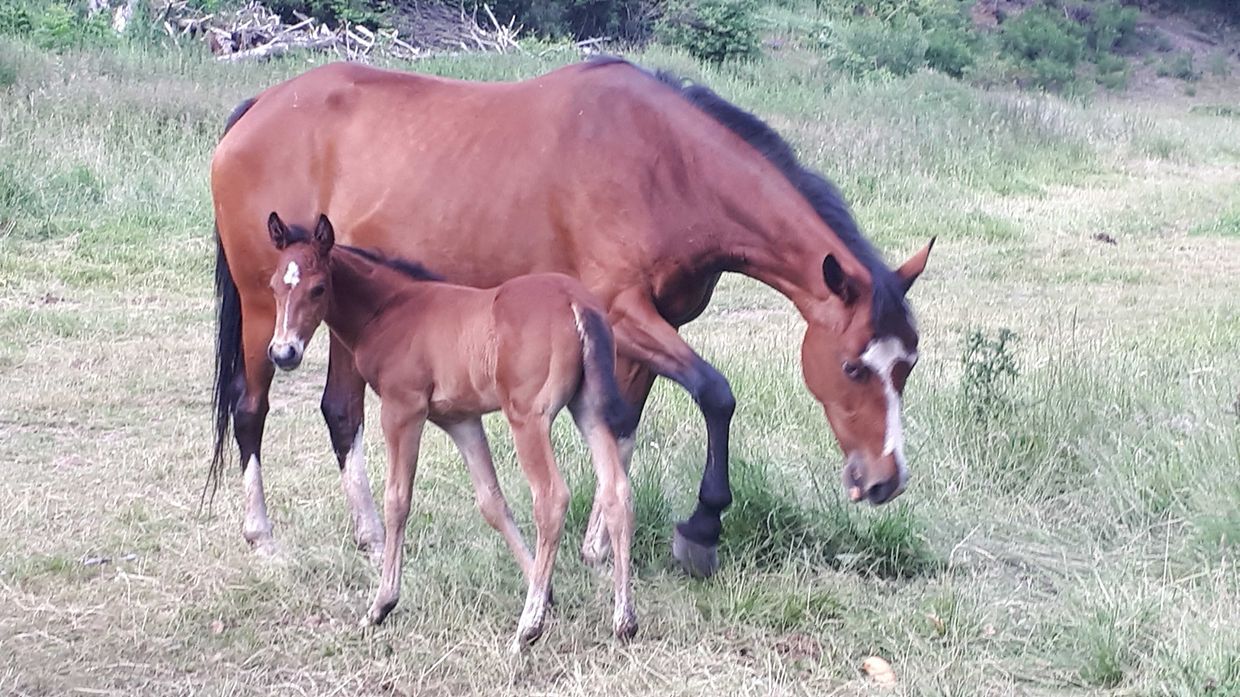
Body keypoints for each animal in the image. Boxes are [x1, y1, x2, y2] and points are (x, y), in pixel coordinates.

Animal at [209, 56, 933, 578]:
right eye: (853, 367)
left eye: (907, 365)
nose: (885, 480)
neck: (665, 166)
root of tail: (255, 109)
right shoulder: (622, 312)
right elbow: (716, 394)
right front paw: (699, 529)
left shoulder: (651, 326)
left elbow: (622, 425)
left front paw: (599, 544)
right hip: (266, 309)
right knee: (250, 407)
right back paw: (260, 534)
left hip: (342, 310)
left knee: (340, 410)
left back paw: (367, 532)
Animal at [264, 211, 639, 648]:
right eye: (274, 286)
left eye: (318, 288)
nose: (283, 352)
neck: (389, 308)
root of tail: (574, 300)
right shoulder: (460, 420)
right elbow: (492, 502)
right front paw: (546, 590)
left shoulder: (402, 409)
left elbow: (397, 500)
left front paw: (381, 604)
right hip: (589, 409)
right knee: (616, 491)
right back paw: (624, 620)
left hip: (528, 417)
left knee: (551, 498)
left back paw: (528, 627)